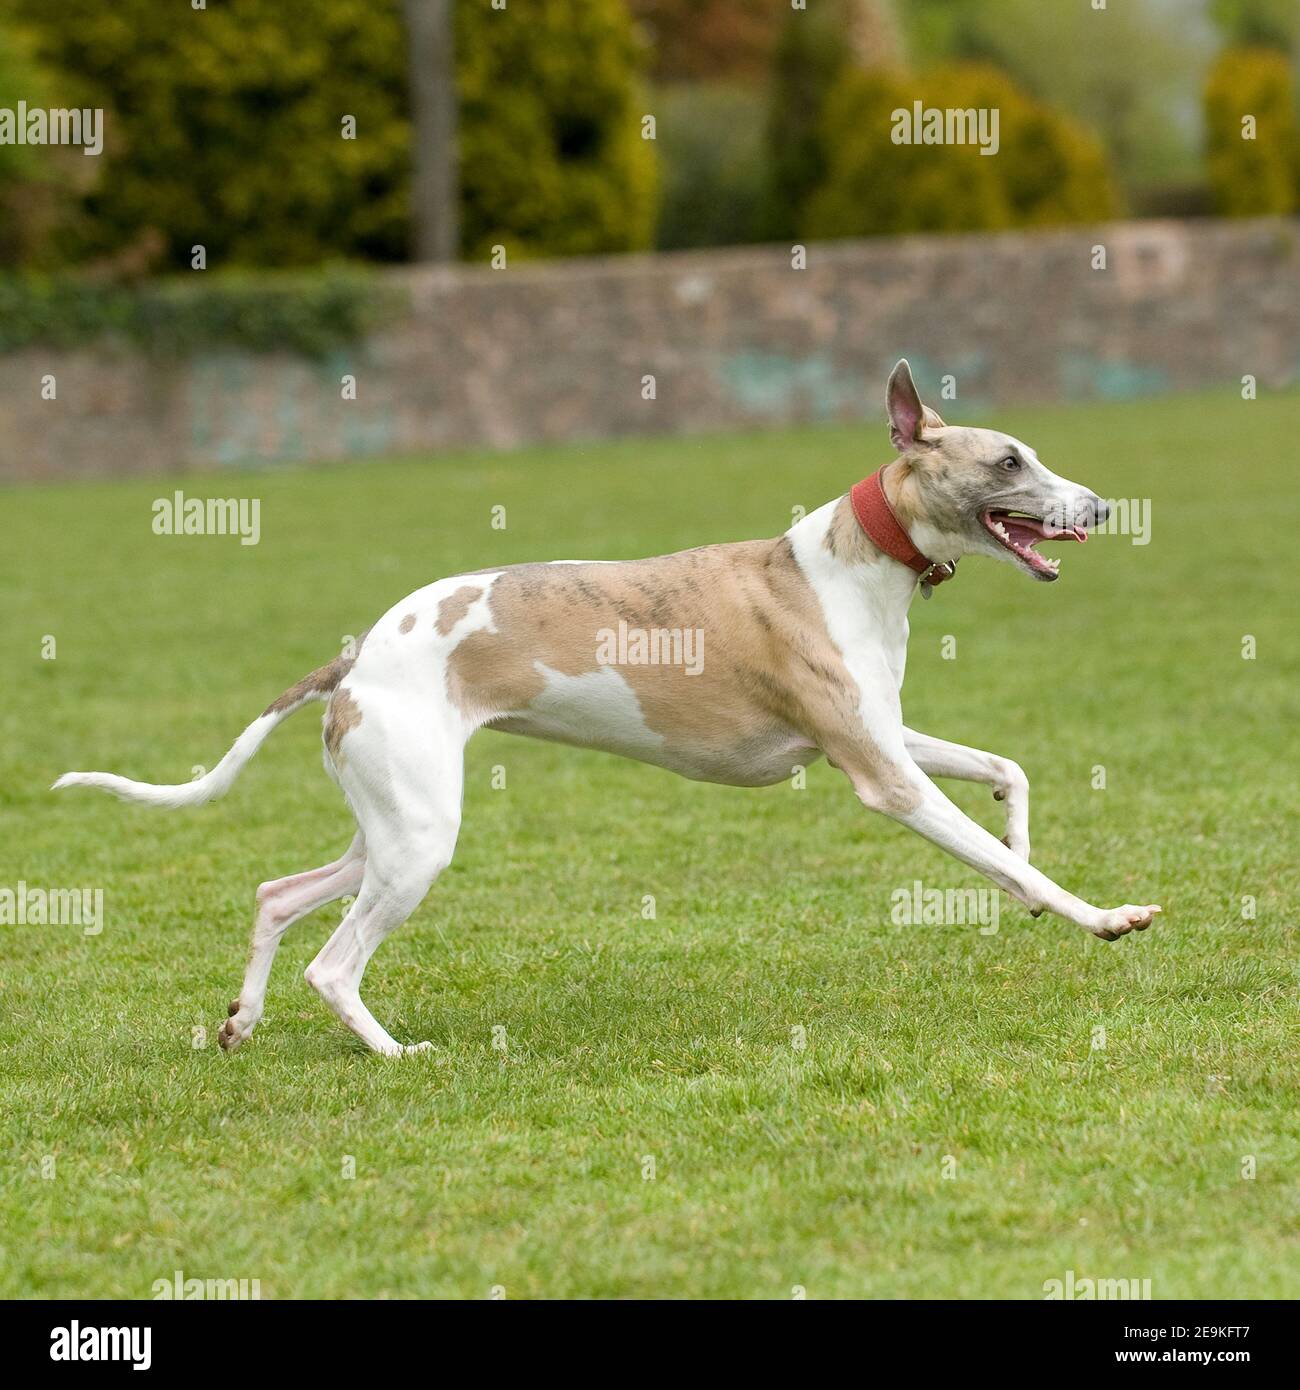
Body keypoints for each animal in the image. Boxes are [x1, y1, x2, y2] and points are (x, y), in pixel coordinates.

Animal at [55, 361, 1162, 1050]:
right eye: (1009, 460)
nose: (1104, 508)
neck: (856, 559)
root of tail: (357, 656)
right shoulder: (879, 775)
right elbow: (1018, 865)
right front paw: (1101, 914)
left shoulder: (875, 736)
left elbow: (1008, 774)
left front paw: (1020, 857)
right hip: (419, 840)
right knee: (332, 963)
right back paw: (394, 1052)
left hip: (388, 826)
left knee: (277, 894)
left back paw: (241, 1020)